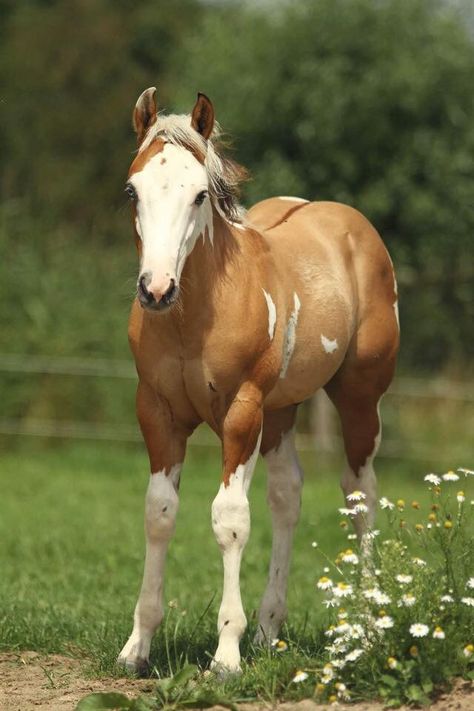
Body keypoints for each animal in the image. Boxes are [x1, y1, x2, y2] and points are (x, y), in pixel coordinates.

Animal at [118, 87, 400, 672]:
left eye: (200, 194)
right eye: (133, 191)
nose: (156, 289)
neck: (195, 316)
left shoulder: (240, 411)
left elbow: (230, 519)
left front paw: (226, 655)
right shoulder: (157, 412)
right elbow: (159, 513)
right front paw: (138, 646)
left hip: (359, 398)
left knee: (361, 494)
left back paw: (366, 628)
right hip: (281, 412)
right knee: (287, 495)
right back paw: (270, 630)